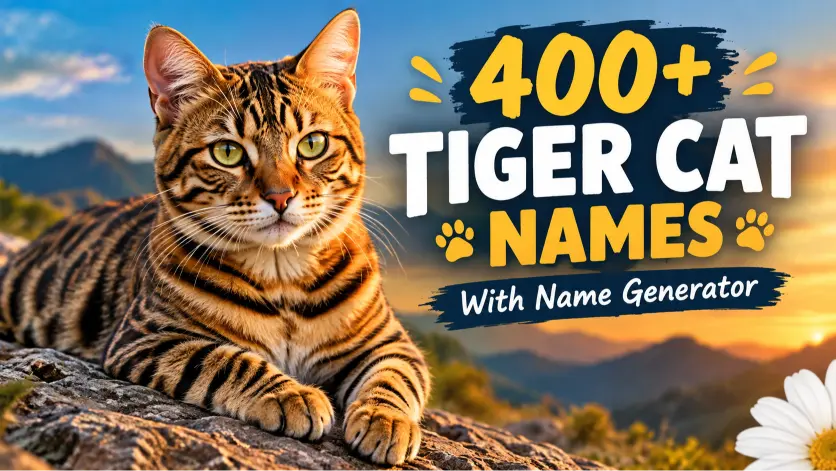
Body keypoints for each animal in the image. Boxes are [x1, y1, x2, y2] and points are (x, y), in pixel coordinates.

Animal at [0, 9, 429, 466]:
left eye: (313, 144)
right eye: (227, 152)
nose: (280, 196)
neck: (283, 275)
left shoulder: (390, 340)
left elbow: (394, 375)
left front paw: (386, 419)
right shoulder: (146, 336)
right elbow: (225, 359)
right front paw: (290, 394)